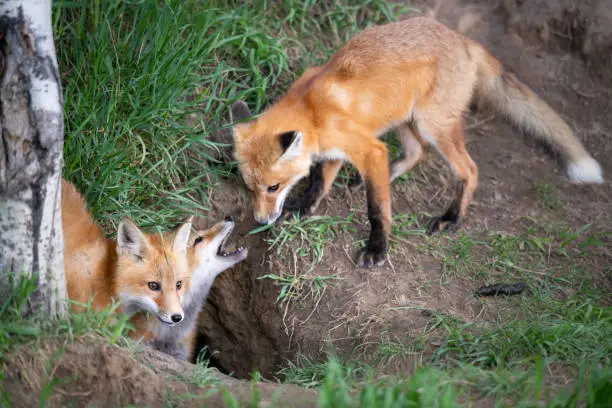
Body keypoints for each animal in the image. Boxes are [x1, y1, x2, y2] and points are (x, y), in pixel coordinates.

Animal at [230, 17, 604, 270]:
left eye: (273, 187)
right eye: (249, 188)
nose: (260, 221)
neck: (312, 111)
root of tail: (461, 39)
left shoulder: (367, 148)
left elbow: (377, 209)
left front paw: (377, 249)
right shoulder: (337, 150)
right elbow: (320, 181)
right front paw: (306, 207)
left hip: (432, 124)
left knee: (469, 169)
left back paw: (451, 218)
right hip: (405, 120)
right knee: (415, 153)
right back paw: (372, 178)